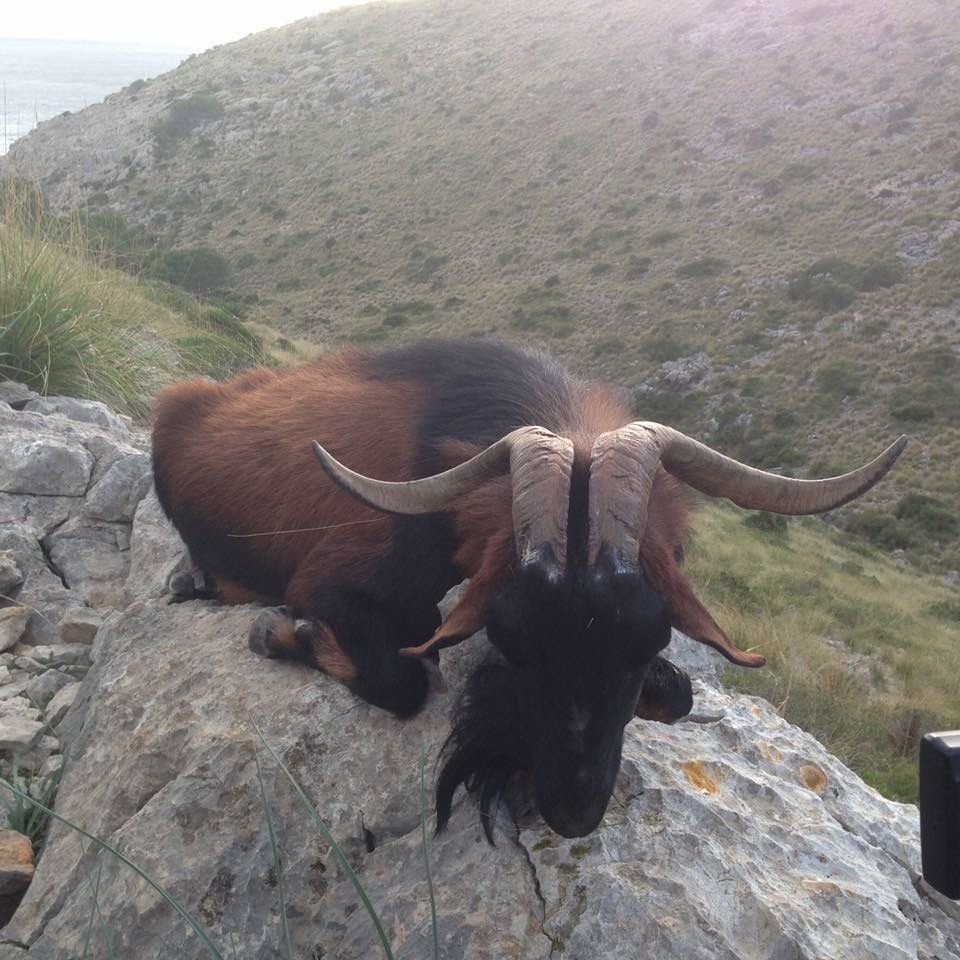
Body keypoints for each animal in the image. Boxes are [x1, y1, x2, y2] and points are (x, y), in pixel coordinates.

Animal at [152, 339, 906, 839]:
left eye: (649, 637)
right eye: (512, 637)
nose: (571, 815)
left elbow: (681, 693)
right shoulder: (335, 576)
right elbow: (402, 677)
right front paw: (284, 631)